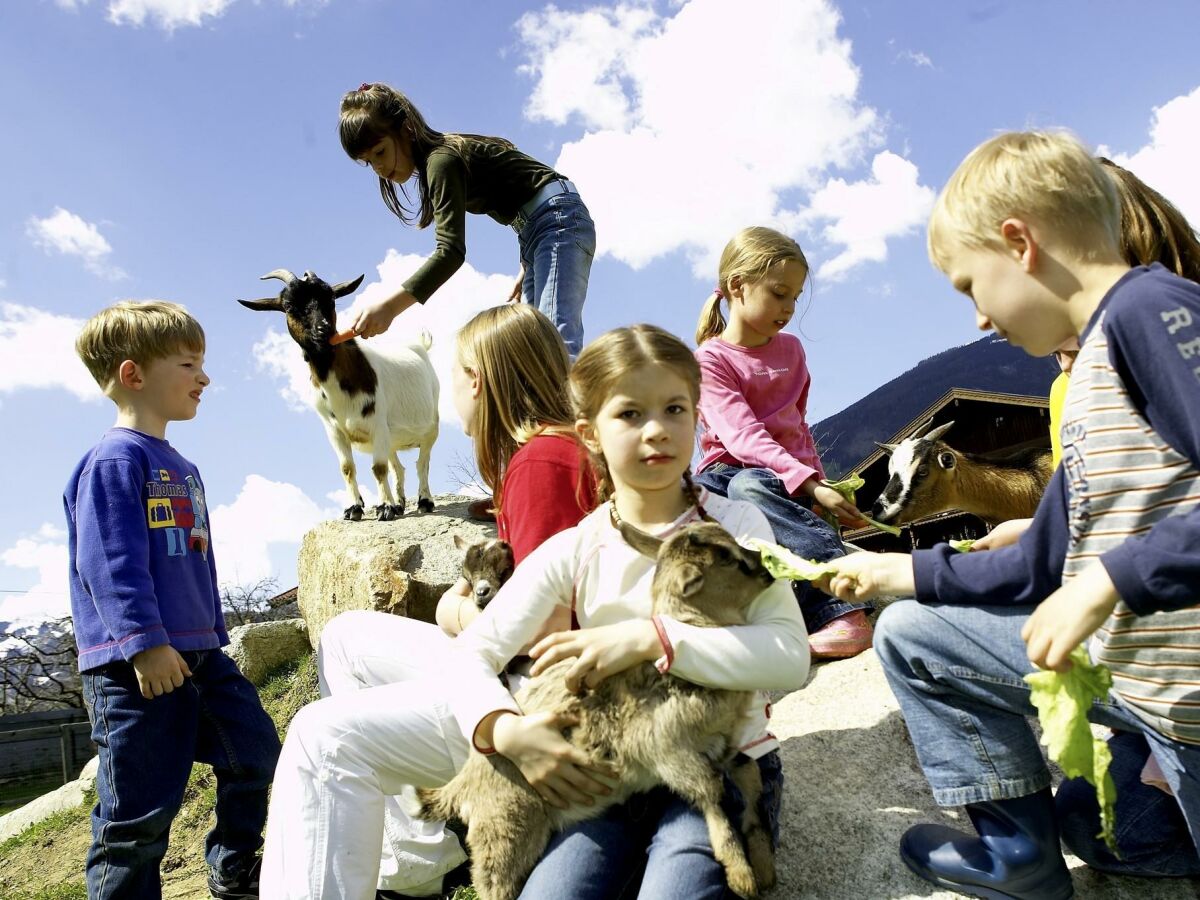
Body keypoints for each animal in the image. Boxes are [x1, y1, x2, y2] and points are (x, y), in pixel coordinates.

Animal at [236, 267, 439, 520]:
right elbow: (347, 468)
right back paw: (401, 504)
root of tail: (421, 346)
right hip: (392, 437)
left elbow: (378, 468)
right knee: (398, 466)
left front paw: (384, 508)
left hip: (431, 425)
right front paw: (354, 508)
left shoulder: (378, 424)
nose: (323, 330)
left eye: (331, 299)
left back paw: (424, 502)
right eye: (289, 305)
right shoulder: (334, 430)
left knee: (423, 462)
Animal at [420, 520, 777, 900]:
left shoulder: (726, 742)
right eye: (728, 560)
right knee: (495, 881)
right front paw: (741, 876)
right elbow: (712, 794)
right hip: (506, 827)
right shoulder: (668, 750)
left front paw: (763, 866)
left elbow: (752, 782)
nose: (768, 570)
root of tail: (459, 786)